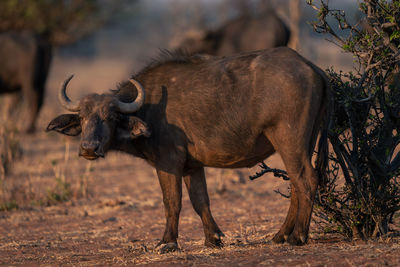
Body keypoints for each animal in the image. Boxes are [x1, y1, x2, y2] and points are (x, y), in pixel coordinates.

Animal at [47, 48, 330, 253]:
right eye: (83, 117)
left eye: (111, 117)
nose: (89, 148)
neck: (149, 107)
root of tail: (310, 67)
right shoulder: (192, 167)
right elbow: (200, 200)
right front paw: (213, 238)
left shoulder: (168, 162)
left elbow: (172, 201)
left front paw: (167, 242)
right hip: (305, 142)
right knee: (295, 184)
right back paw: (280, 235)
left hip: (289, 141)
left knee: (306, 179)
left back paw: (297, 236)